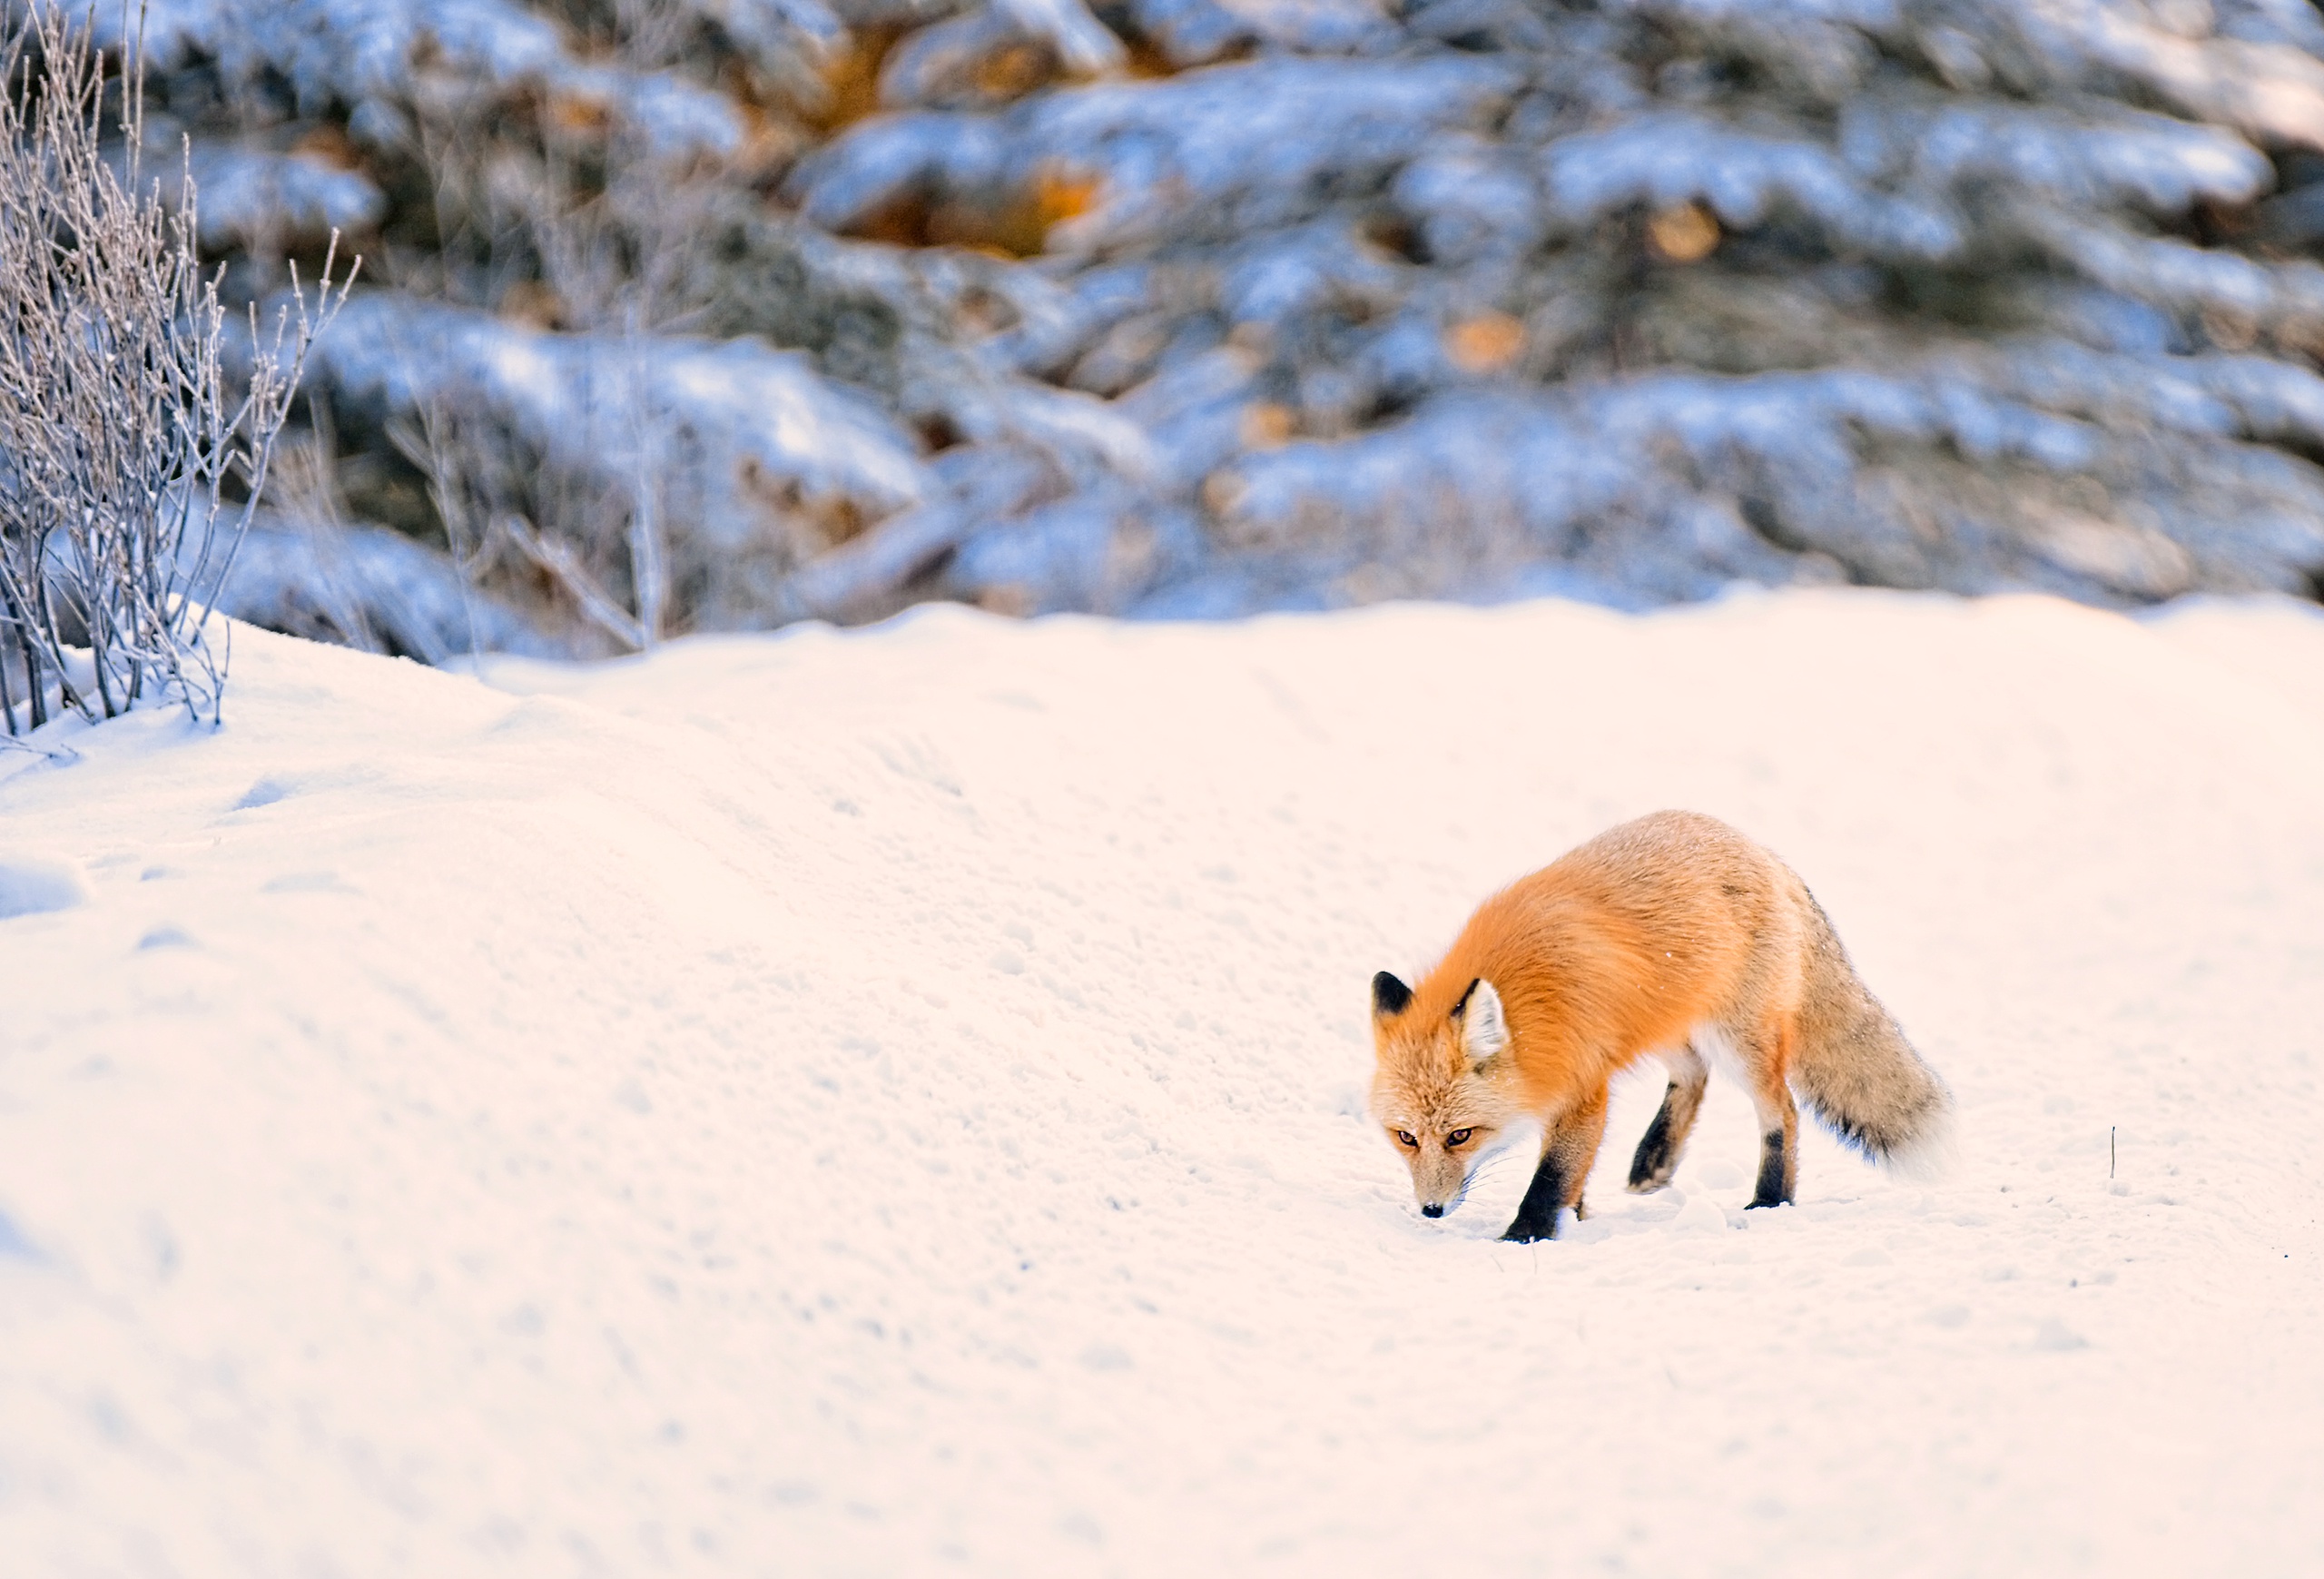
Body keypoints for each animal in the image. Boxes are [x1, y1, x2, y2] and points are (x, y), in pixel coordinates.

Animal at [1366, 809, 1952, 1237]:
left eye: (1461, 1135)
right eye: (1406, 1137)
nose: (1432, 1211)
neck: (1534, 1005)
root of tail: (1764, 853)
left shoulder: (1584, 1088)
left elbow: (1552, 1176)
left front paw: (1525, 1236)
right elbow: (1572, 1173)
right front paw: (1574, 1217)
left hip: (1736, 1041)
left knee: (1781, 1109)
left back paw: (1770, 1199)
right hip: (1660, 1022)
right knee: (1694, 1075)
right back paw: (1655, 1158)